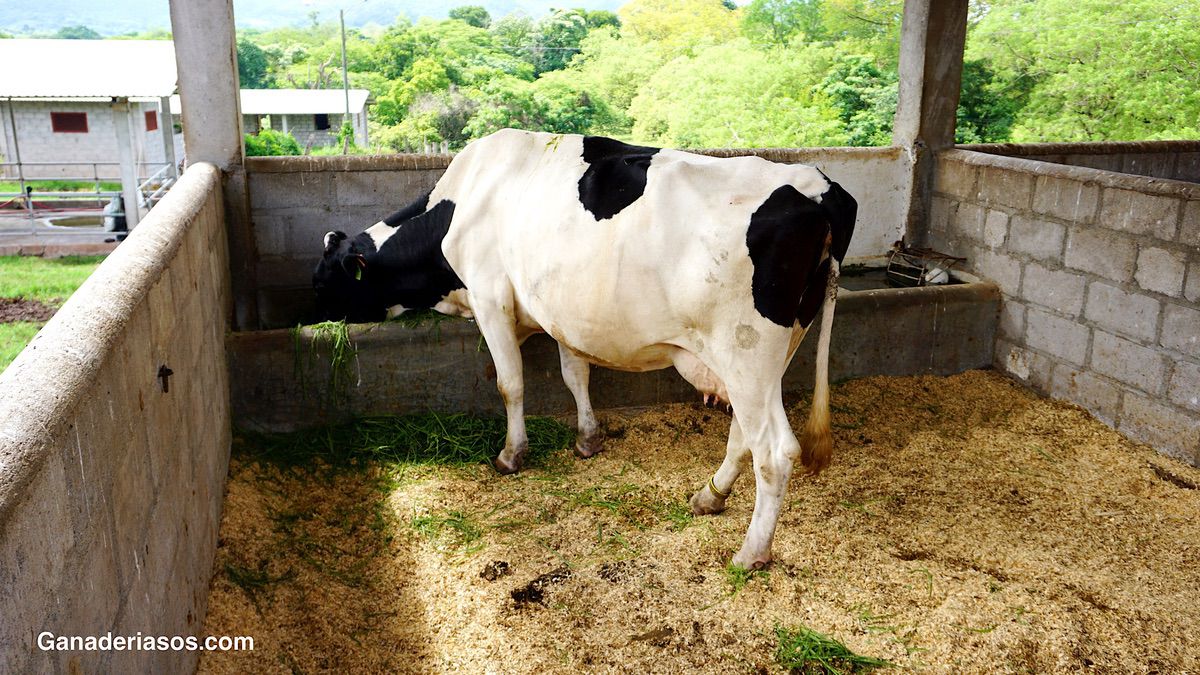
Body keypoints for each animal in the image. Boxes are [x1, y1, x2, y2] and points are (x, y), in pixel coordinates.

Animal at [312, 127, 854, 566]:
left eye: (326, 280)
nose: (309, 315)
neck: (460, 204)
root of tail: (819, 189)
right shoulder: (561, 310)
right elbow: (575, 374)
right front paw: (588, 438)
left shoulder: (490, 296)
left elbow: (510, 383)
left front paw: (512, 454)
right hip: (764, 357)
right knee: (745, 434)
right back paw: (710, 495)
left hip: (748, 351)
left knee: (775, 451)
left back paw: (750, 552)